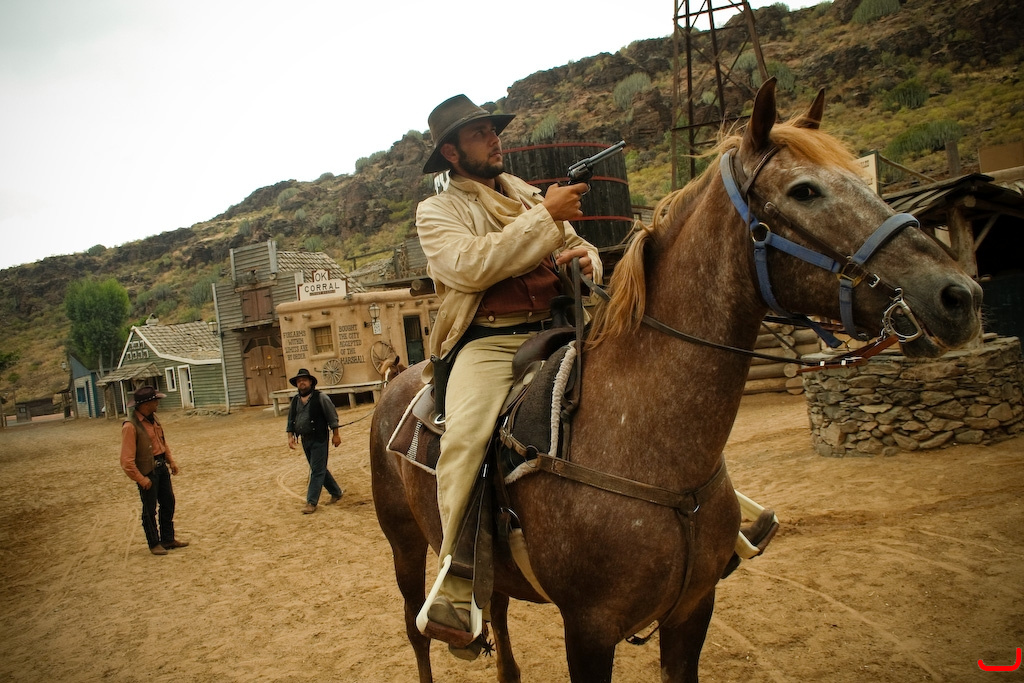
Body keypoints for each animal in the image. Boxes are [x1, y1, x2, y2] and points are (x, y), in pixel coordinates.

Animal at [368, 79, 982, 683]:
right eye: (805, 191)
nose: (959, 296)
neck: (645, 445)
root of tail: (398, 383)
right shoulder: (588, 629)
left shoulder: (692, 610)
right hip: (403, 545)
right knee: (416, 630)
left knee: (493, 614)